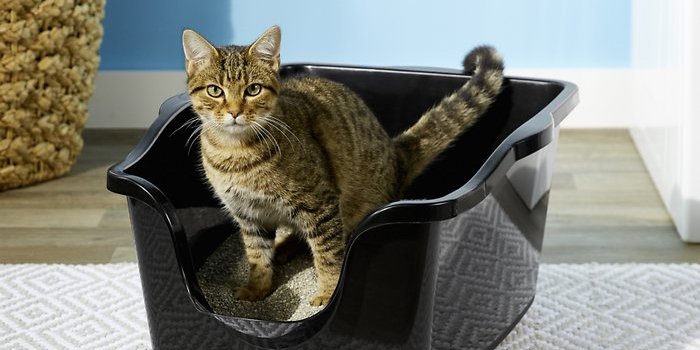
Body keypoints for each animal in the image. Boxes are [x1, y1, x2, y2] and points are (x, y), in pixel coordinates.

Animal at [180, 25, 504, 306]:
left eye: (253, 89)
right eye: (215, 90)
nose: (235, 112)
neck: (235, 153)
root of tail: (395, 153)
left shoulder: (320, 204)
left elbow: (328, 256)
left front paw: (327, 294)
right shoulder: (248, 215)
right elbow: (257, 257)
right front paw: (256, 289)